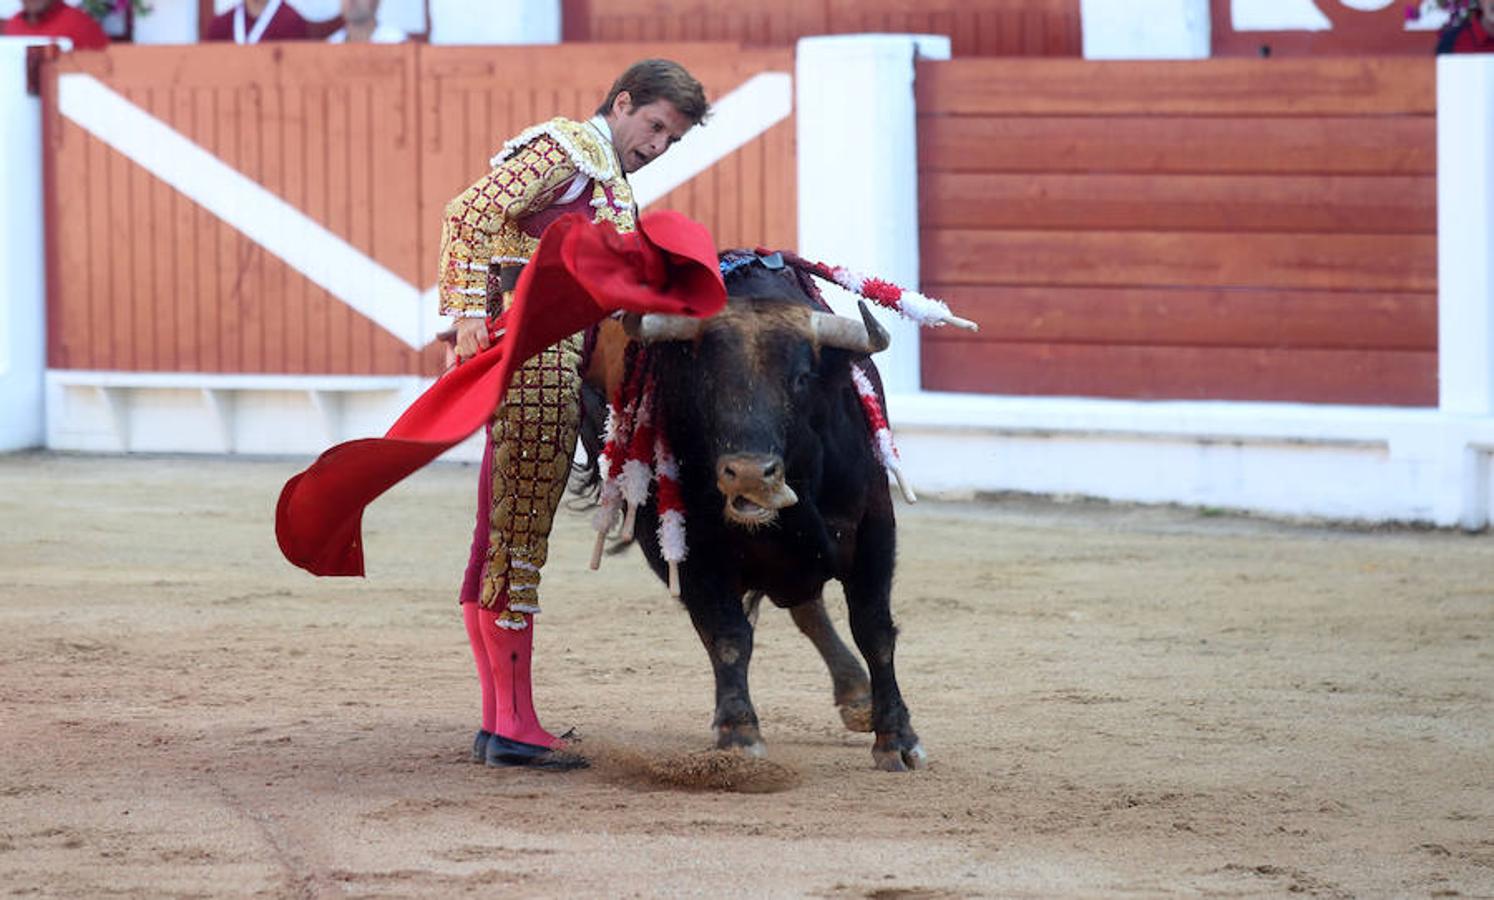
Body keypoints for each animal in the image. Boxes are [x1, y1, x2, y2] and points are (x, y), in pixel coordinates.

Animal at [579, 254, 920, 771]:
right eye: (707, 378)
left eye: (800, 379)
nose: (750, 475)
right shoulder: (689, 550)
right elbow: (726, 634)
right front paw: (738, 730)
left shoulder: (875, 528)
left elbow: (874, 628)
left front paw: (897, 737)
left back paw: (858, 696)